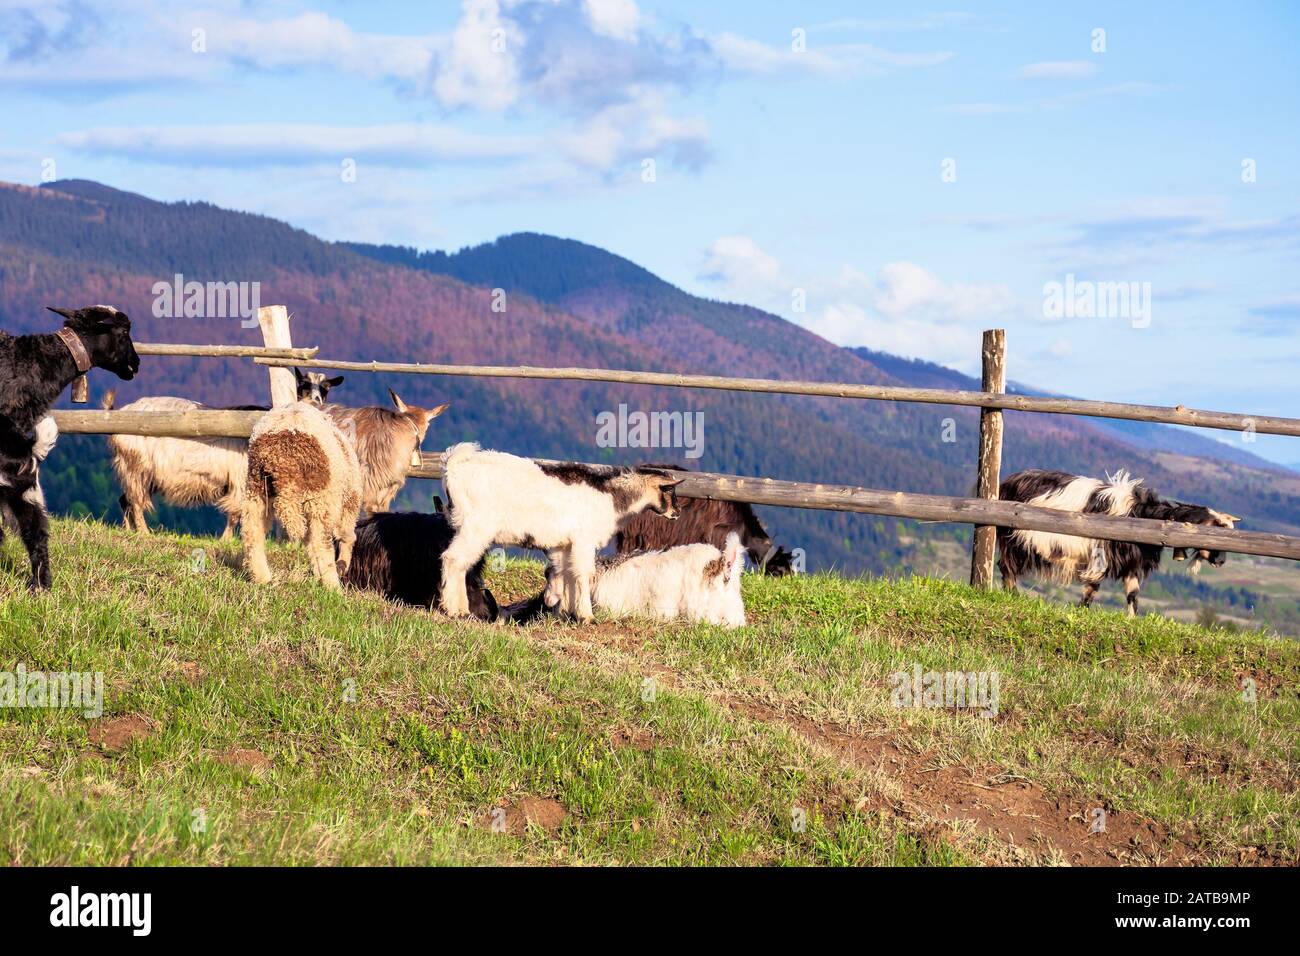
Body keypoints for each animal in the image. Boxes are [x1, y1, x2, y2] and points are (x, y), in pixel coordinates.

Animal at [241, 400, 362, 590]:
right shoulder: (349, 500)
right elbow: (345, 536)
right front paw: (339, 568)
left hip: (256, 488)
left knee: (252, 530)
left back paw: (262, 578)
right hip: (320, 495)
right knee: (322, 541)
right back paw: (333, 587)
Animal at [439, 443, 682, 621]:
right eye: (669, 490)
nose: (677, 512)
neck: (610, 497)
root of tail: (455, 466)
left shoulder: (565, 544)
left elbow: (567, 573)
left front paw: (565, 613)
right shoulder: (584, 540)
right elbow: (584, 574)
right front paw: (586, 616)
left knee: (462, 564)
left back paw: (460, 609)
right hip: (476, 527)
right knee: (453, 559)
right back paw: (454, 610)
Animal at [997, 468, 1239, 616]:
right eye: (1212, 531)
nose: (1221, 562)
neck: (1138, 514)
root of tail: (1007, 483)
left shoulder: (1132, 563)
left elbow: (1133, 594)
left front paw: (1131, 620)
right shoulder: (1099, 557)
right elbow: (1092, 587)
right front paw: (1081, 612)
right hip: (1015, 540)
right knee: (1007, 566)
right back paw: (1013, 595)